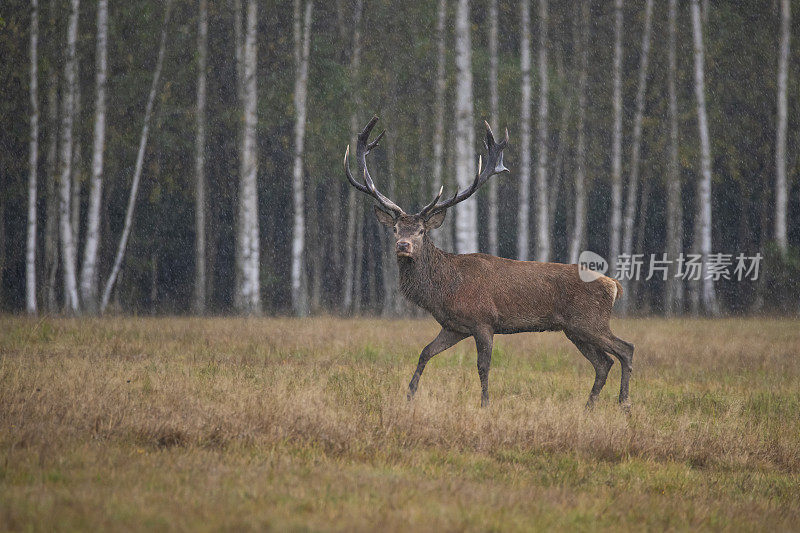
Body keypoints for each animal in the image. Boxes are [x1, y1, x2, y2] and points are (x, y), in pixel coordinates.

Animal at [344, 116, 636, 408]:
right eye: (395, 229)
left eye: (421, 231)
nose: (403, 246)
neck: (444, 290)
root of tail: (614, 285)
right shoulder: (453, 326)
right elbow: (425, 352)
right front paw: (409, 395)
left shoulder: (484, 320)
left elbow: (483, 366)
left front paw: (485, 404)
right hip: (574, 329)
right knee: (603, 363)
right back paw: (589, 407)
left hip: (589, 321)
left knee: (625, 349)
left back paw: (624, 403)